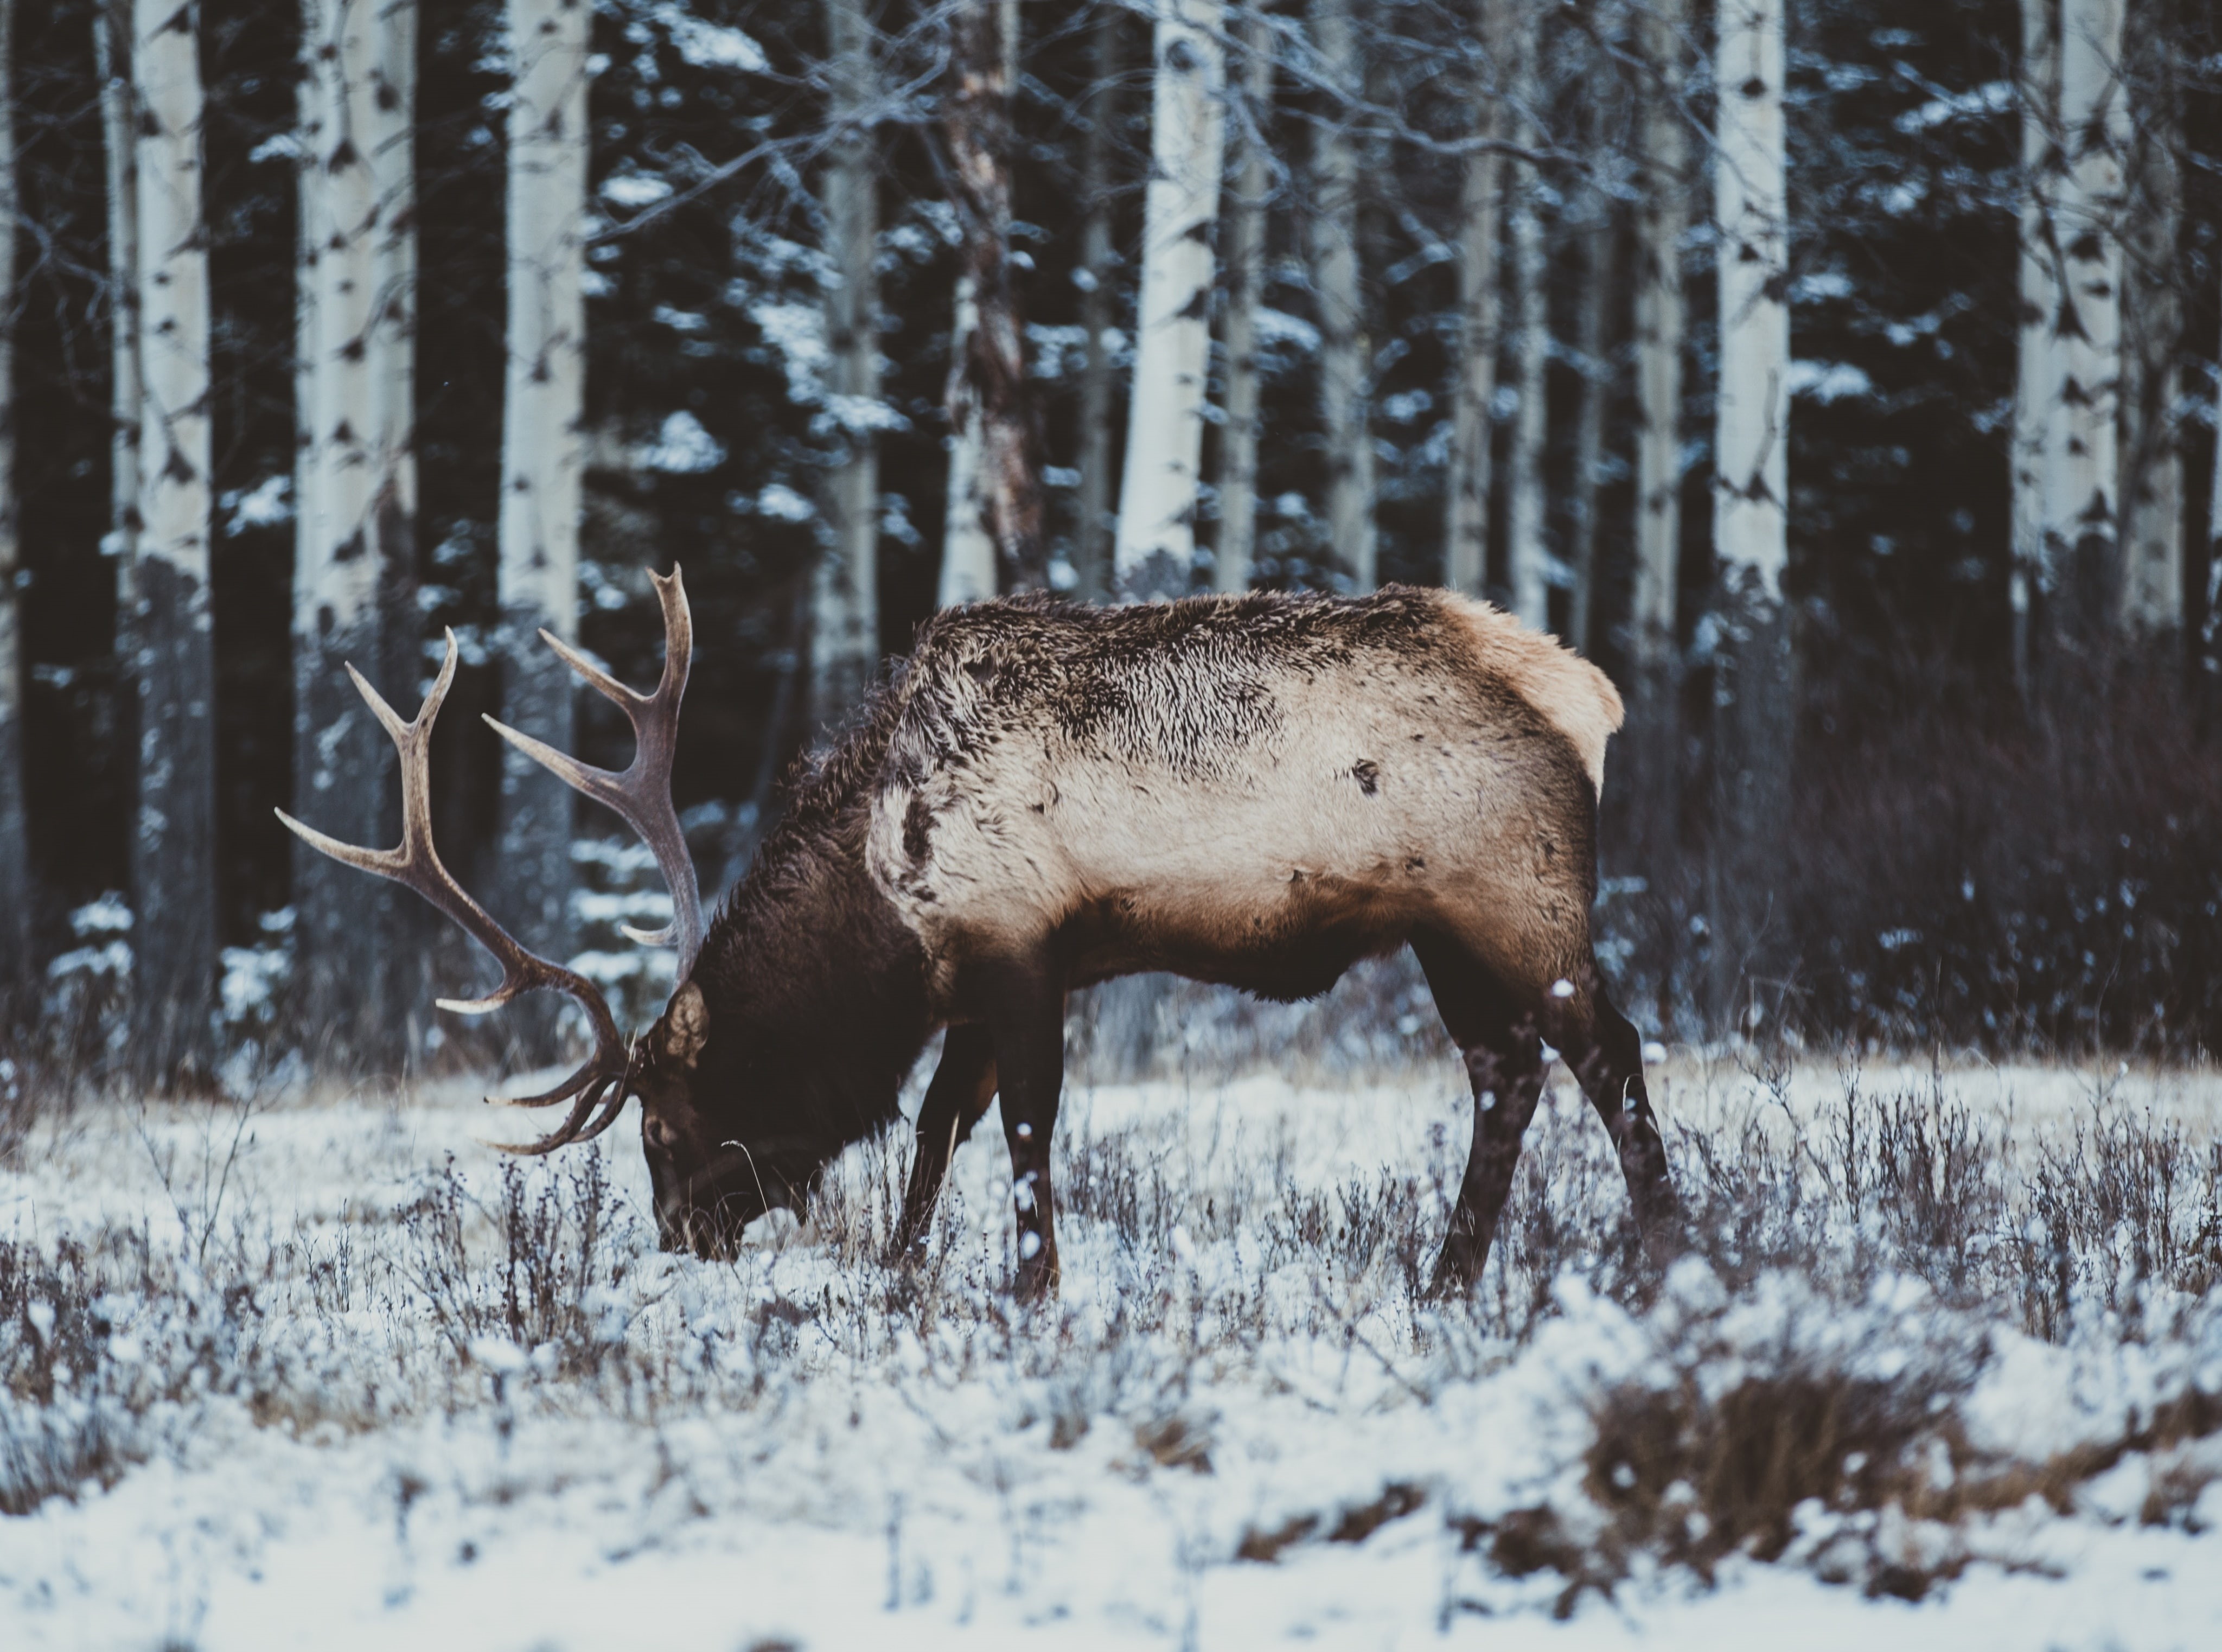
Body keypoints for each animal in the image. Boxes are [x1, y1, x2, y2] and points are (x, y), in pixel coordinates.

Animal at [281, 567, 1677, 1300]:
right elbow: (939, 1123)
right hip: (1445, 931)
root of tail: (1591, 696)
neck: (878, 903)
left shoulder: (1021, 949)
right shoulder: (971, 978)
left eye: (669, 1126)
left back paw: (1663, 1250)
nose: (681, 1240)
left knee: (1608, 1053)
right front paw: (902, 1274)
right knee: (1505, 1074)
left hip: (1518, 899)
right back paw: (1446, 1276)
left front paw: (1030, 1282)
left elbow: (1018, 1124)